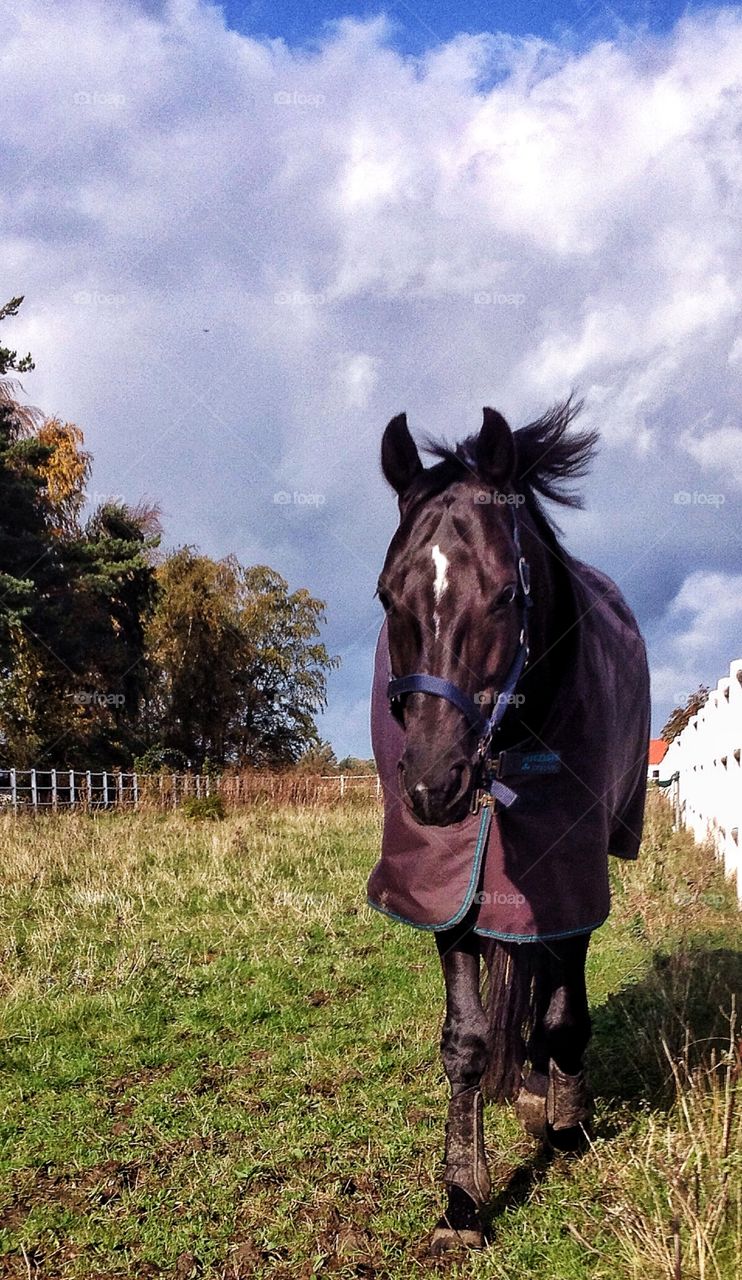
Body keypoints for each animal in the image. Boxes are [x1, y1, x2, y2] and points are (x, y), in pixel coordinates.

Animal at [367, 400, 650, 1253]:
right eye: (387, 594)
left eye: (500, 592)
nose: (433, 784)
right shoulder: (451, 887)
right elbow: (463, 1041)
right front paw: (463, 1198)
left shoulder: (569, 874)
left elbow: (562, 1009)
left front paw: (567, 1122)